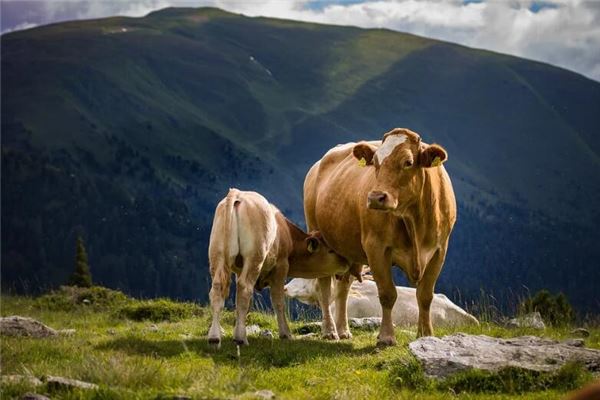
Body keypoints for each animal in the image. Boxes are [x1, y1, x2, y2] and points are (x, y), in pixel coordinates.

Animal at [209, 188, 346, 346]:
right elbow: (278, 300)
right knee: (244, 288)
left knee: (218, 289)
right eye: (331, 250)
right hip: (254, 257)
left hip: (217, 254)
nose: (347, 262)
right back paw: (240, 339)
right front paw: (285, 333)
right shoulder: (281, 266)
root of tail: (238, 194)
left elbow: (245, 304)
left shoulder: (239, 269)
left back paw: (214, 337)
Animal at [304, 129, 454, 346]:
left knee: (343, 287)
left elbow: (425, 295)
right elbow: (387, 294)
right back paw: (330, 331)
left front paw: (426, 334)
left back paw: (343, 330)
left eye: (408, 162)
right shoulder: (376, 247)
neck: (414, 221)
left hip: (348, 249)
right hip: (318, 236)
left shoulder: (439, 250)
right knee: (325, 287)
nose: (376, 197)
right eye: (374, 162)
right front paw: (386, 337)